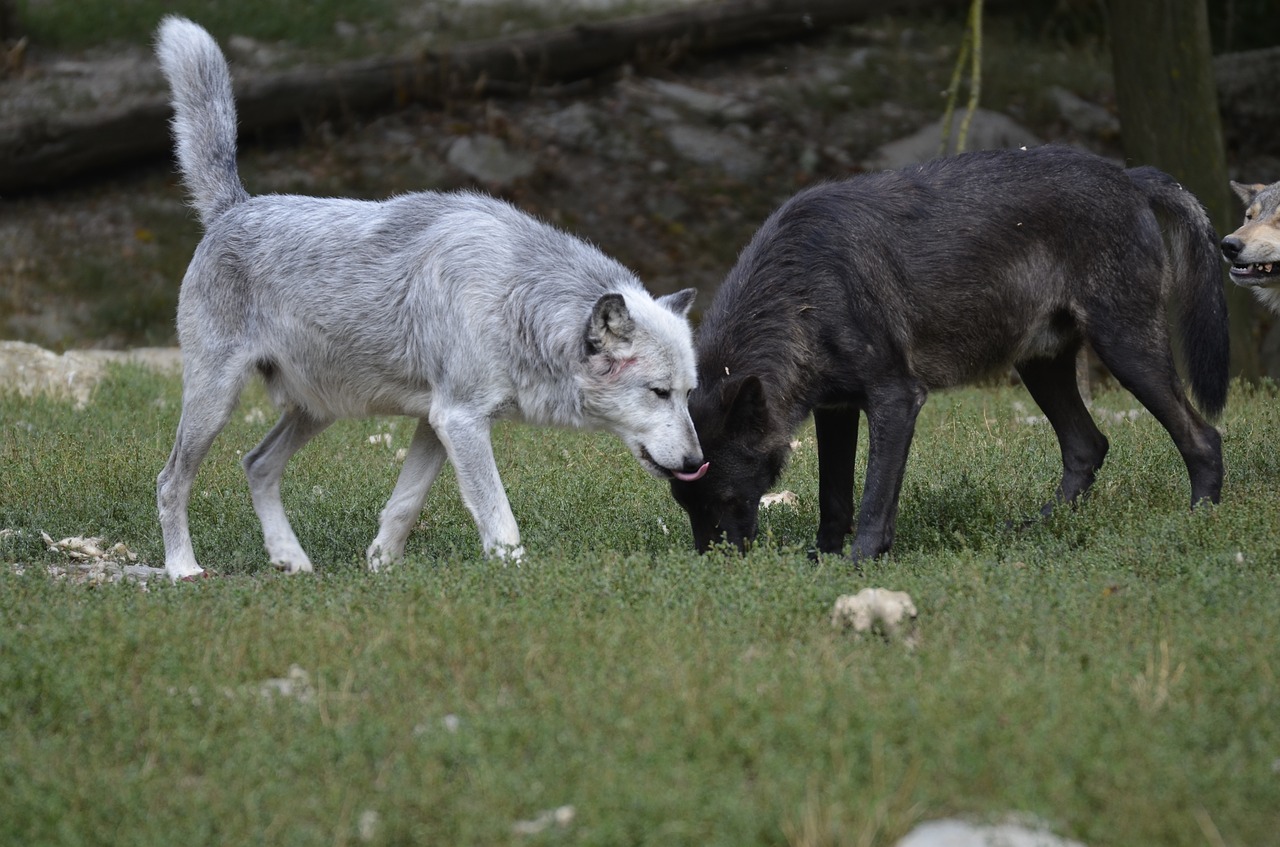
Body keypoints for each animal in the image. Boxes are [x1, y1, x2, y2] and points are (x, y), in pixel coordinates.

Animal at [153, 14, 706, 583]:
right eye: (659, 392)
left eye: (689, 394)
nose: (696, 463)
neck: (512, 296)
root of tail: (233, 207)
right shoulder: (459, 420)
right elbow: (500, 519)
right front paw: (518, 580)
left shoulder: (435, 423)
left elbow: (405, 504)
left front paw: (381, 570)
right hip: (216, 401)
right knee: (171, 481)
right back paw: (183, 568)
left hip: (317, 409)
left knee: (256, 464)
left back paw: (293, 561)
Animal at [665, 144, 1223, 562]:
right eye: (684, 504)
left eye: (725, 499)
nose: (713, 566)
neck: (802, 288)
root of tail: (1130, 177)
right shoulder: (836, 409)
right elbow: (833, 498)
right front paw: (822, 558)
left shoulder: (896, 400)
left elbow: (873, 499)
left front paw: (860, 561)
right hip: (1040, 366)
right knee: (1088, 445)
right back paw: (1038, 527)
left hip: (1127, 351)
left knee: (1203, 437)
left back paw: (1201, 521)